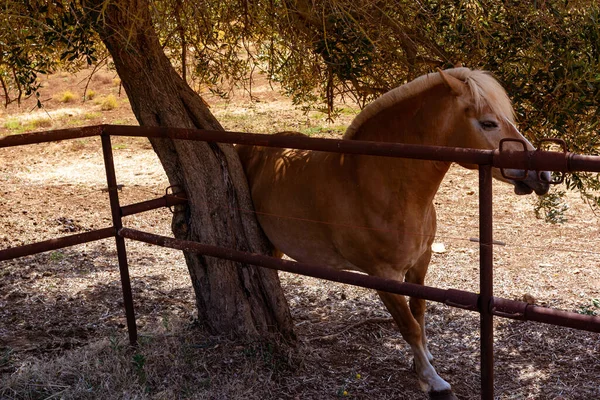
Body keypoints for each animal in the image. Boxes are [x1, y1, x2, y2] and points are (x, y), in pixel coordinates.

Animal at [237, 67, 552, 398]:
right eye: (489, 122)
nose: (542, 174)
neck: (375, 184)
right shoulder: (383, 275)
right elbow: (408, 325)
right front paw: (432, 380)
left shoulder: (419, 263)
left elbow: (419, 310)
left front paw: (424, 358)